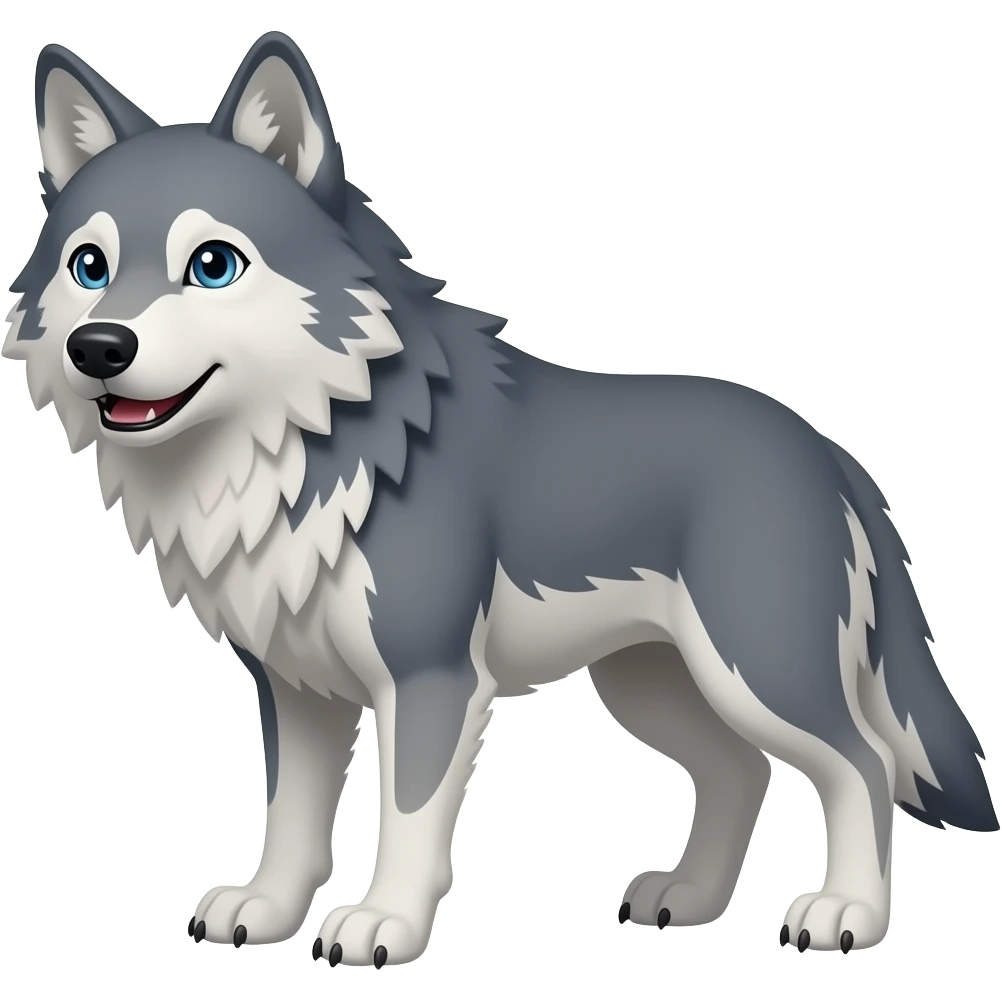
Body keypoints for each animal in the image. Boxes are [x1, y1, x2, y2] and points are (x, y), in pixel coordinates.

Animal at [5, 31, 997, 969]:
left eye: (212, 265)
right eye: (89, 266)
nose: (100, 347)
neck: (302, 442)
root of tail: (826, 449)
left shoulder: (430, 678)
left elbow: (406, 819)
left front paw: (382, 926)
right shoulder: (295, 686)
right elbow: (290, 817)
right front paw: (267, 911)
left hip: (756, 671)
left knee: (862, 764)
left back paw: (848, 914)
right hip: (652, 685)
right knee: (741, 771)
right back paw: (689, 899)